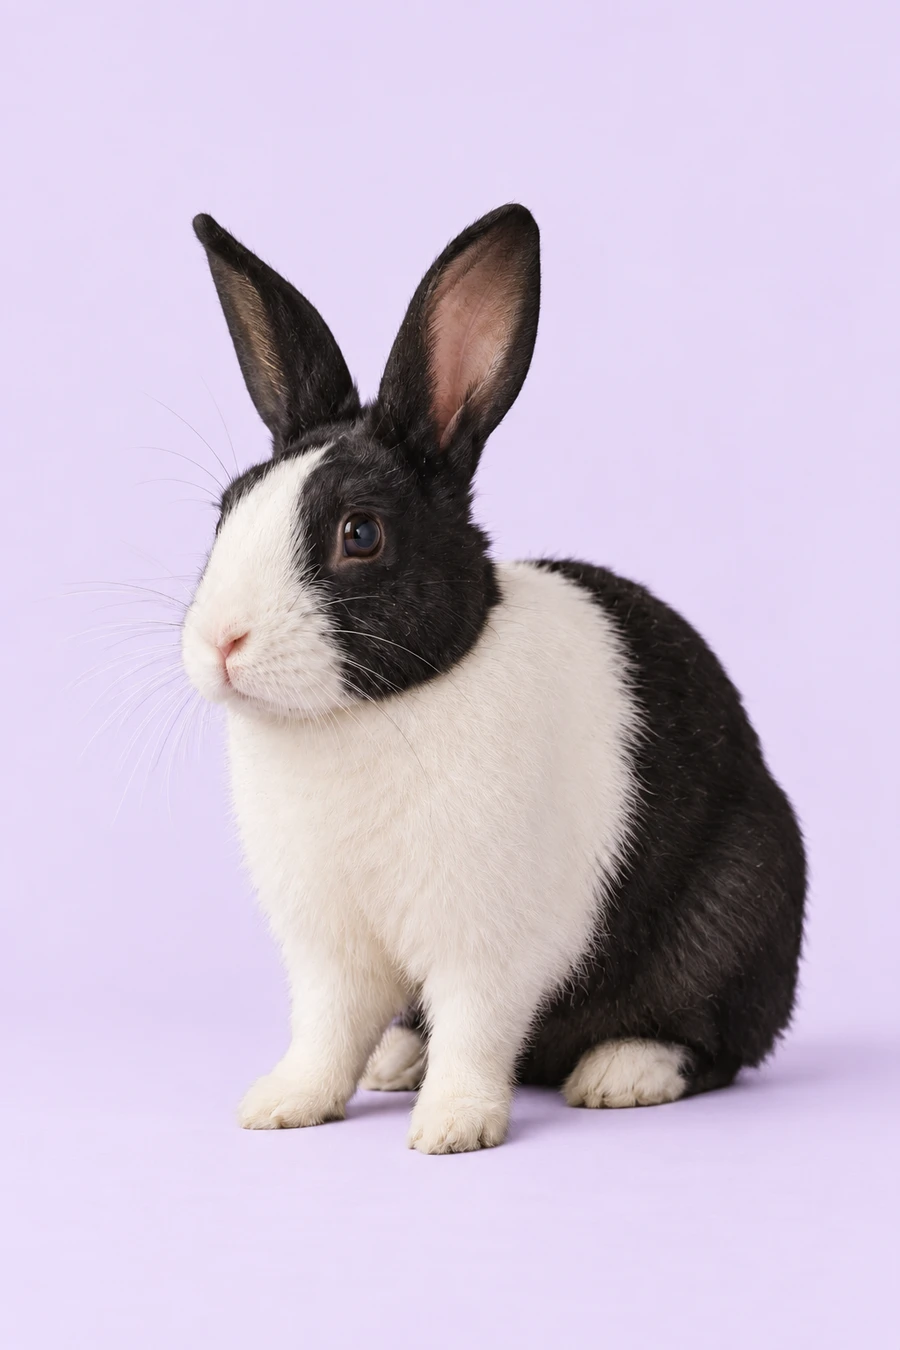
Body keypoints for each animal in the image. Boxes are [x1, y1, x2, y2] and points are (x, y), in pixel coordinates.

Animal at [181, 204, 806, 1154]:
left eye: (360, 533)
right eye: (227, 509)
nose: (222, 641)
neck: (366, 715)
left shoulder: (489, 942)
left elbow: (476, 1030)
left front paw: (452, 1129)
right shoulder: (331, 949)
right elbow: (325, 1030)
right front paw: (282, 1105)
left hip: (739, 909)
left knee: (716, 1040)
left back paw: (623, 1072)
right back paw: (396, 1060)